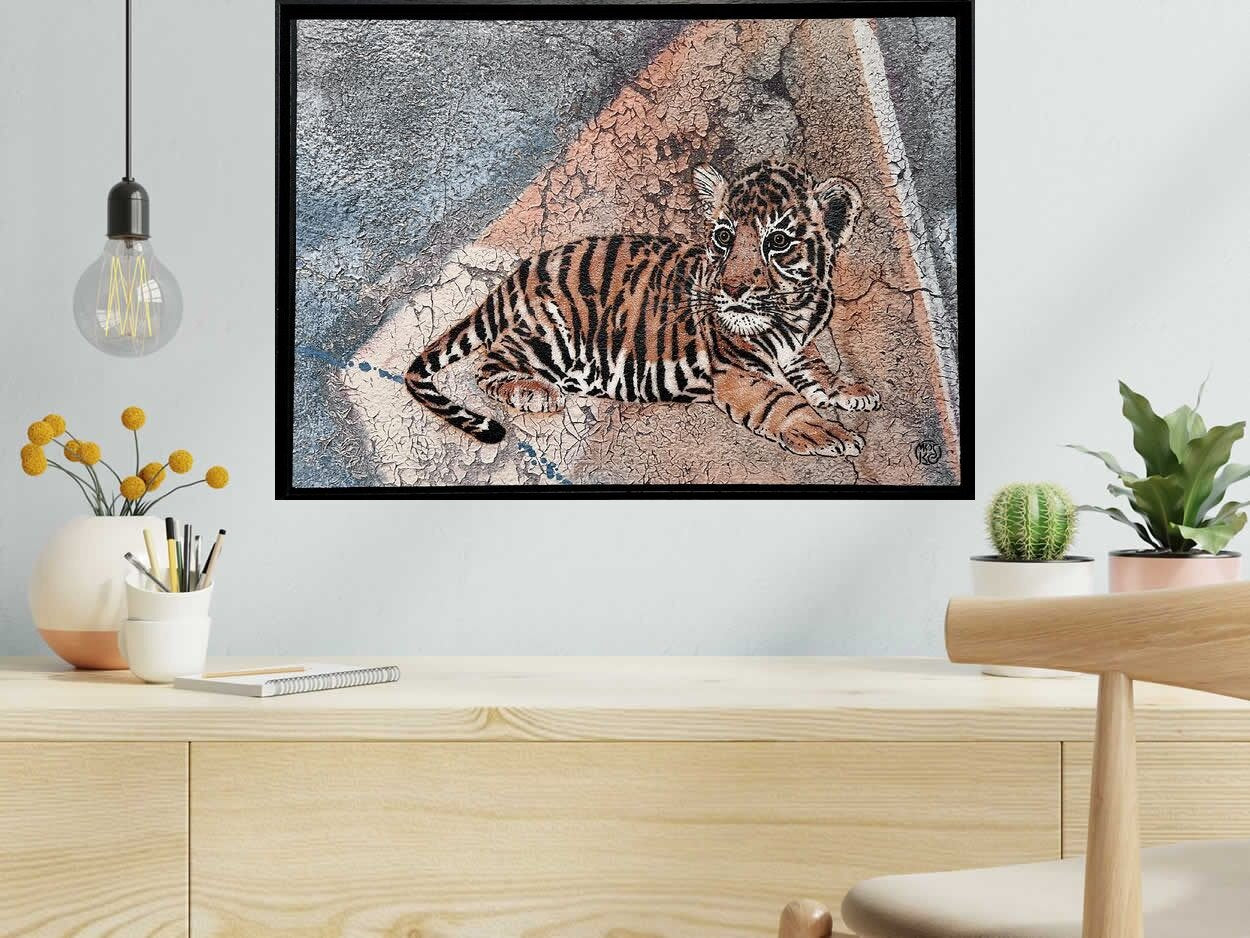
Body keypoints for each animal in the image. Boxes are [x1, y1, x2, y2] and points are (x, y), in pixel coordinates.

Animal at [404, 160, 881, 457]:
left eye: (778, 241)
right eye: (724, 236)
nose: (733, 290)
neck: (792, 311)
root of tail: (524, 268)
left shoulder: (799, 345)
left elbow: (817, 371)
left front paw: (851, 390)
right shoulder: (737, 371)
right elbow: (783, 403)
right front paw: (826, 433)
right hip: (555, 333)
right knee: (490, 363)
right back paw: (536, 394)